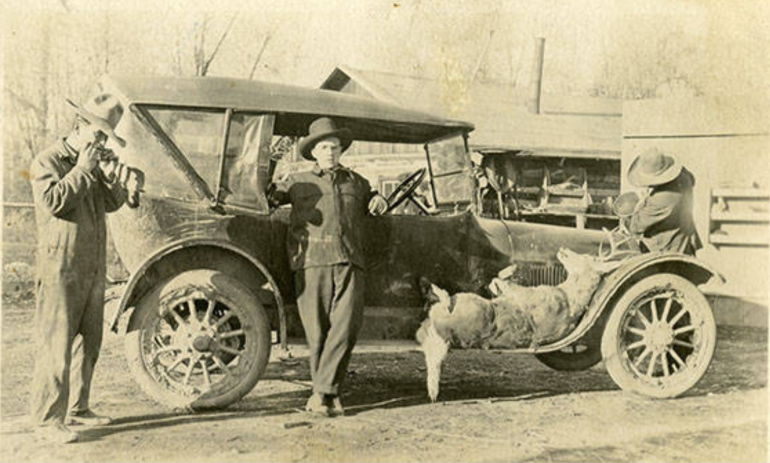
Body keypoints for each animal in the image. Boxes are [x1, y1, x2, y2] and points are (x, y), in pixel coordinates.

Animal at [415, 247, 623, 402]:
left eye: (587, 257)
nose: (563, 248)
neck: (568, 295)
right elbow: (499, 281)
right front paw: (507, 271)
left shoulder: (524, 295)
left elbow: (502, 282)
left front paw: (508, 271)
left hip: (467, 310)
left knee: (437, 340)